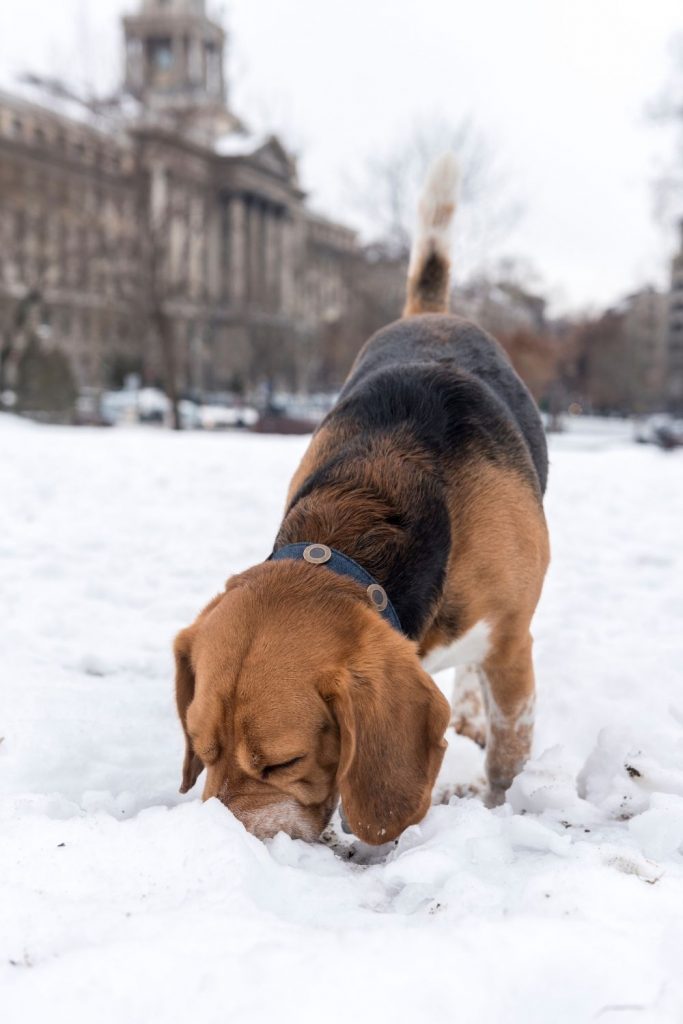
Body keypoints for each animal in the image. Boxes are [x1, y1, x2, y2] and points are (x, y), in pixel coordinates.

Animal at [176, 155, 548, 843]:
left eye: (283, 761)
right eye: (201, 748)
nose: (228, 848)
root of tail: (429, 313)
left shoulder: (513, 643)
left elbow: (509, 753)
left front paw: (499, 808)